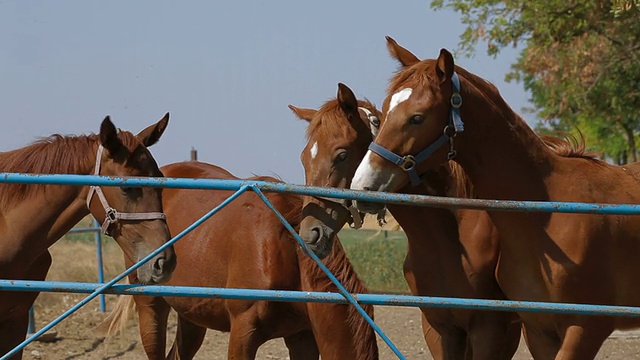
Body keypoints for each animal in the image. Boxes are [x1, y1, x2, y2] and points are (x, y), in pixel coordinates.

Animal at [290, 81, 520, 360]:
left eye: (341, 155)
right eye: (304, 158)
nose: (309, 234)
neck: (448, 241)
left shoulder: (491, 329)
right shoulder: (439, 329)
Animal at [352, 39, 640, 360]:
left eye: (417, 117)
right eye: (383, 114)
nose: (363, 185)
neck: (547, 217)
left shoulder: (584, 330)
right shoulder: (540, 331)